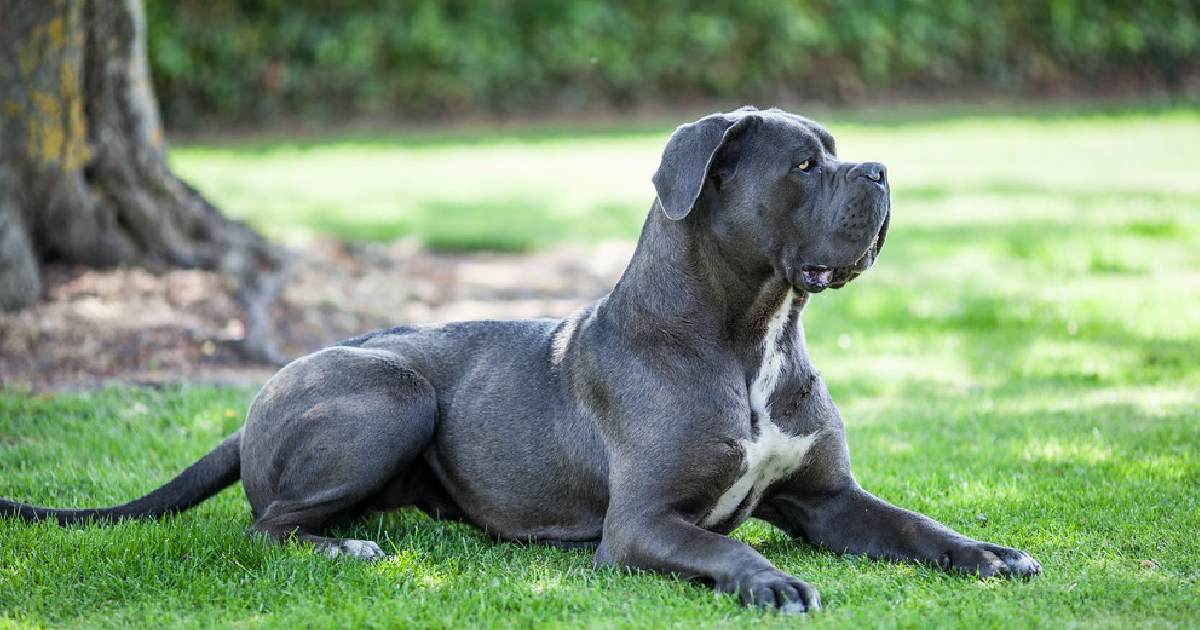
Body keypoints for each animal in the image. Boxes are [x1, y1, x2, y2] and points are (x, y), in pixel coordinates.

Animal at [2, 106, 1041, 609]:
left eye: (836, 152)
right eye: (803, 165)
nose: (882, 172)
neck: (753, 334)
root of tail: (259, 394)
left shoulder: (830, 500)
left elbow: (917, 527)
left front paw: (988, 552)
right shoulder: (643, 525)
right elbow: (722, 542)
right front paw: (768, 579)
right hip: (393, 392)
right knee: (266, 529)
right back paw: (347, 543)